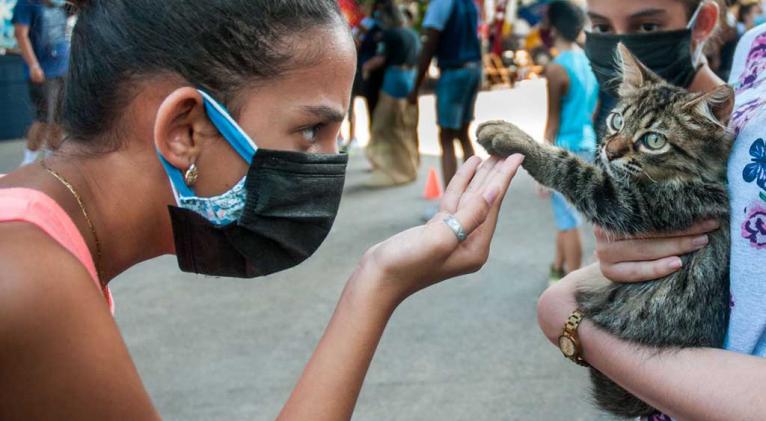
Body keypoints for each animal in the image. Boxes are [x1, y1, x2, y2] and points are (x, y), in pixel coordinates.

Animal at [480, 43, 736, 416]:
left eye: (654, 140)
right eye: (617, 121)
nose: (609, 151)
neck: (702, 179)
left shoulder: (633, 203)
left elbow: (570, 167)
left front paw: (512, 137)